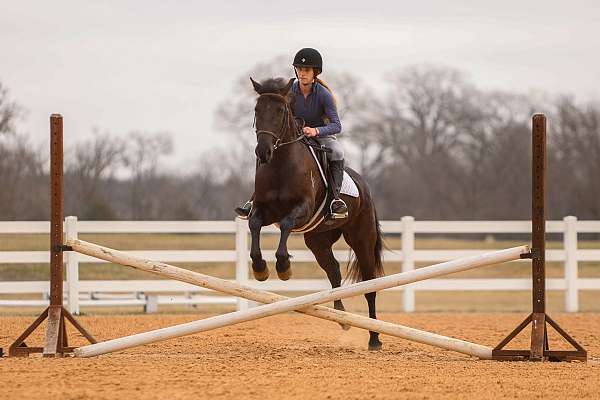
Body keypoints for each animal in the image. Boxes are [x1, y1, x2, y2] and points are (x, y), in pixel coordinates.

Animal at [247, 76, 384, 348]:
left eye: (280, 111)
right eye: (257, 110)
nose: (263, 152)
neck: (280, 165)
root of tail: (364, 187)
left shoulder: (302, 210)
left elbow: (286, 224)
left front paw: (283, 267)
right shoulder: (263, 210)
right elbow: (254, 224)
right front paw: (260, 268)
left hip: (361, 239)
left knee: (368, 284)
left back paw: (374, 337)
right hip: (318, 239)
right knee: (333, 271)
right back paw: (342, 317)